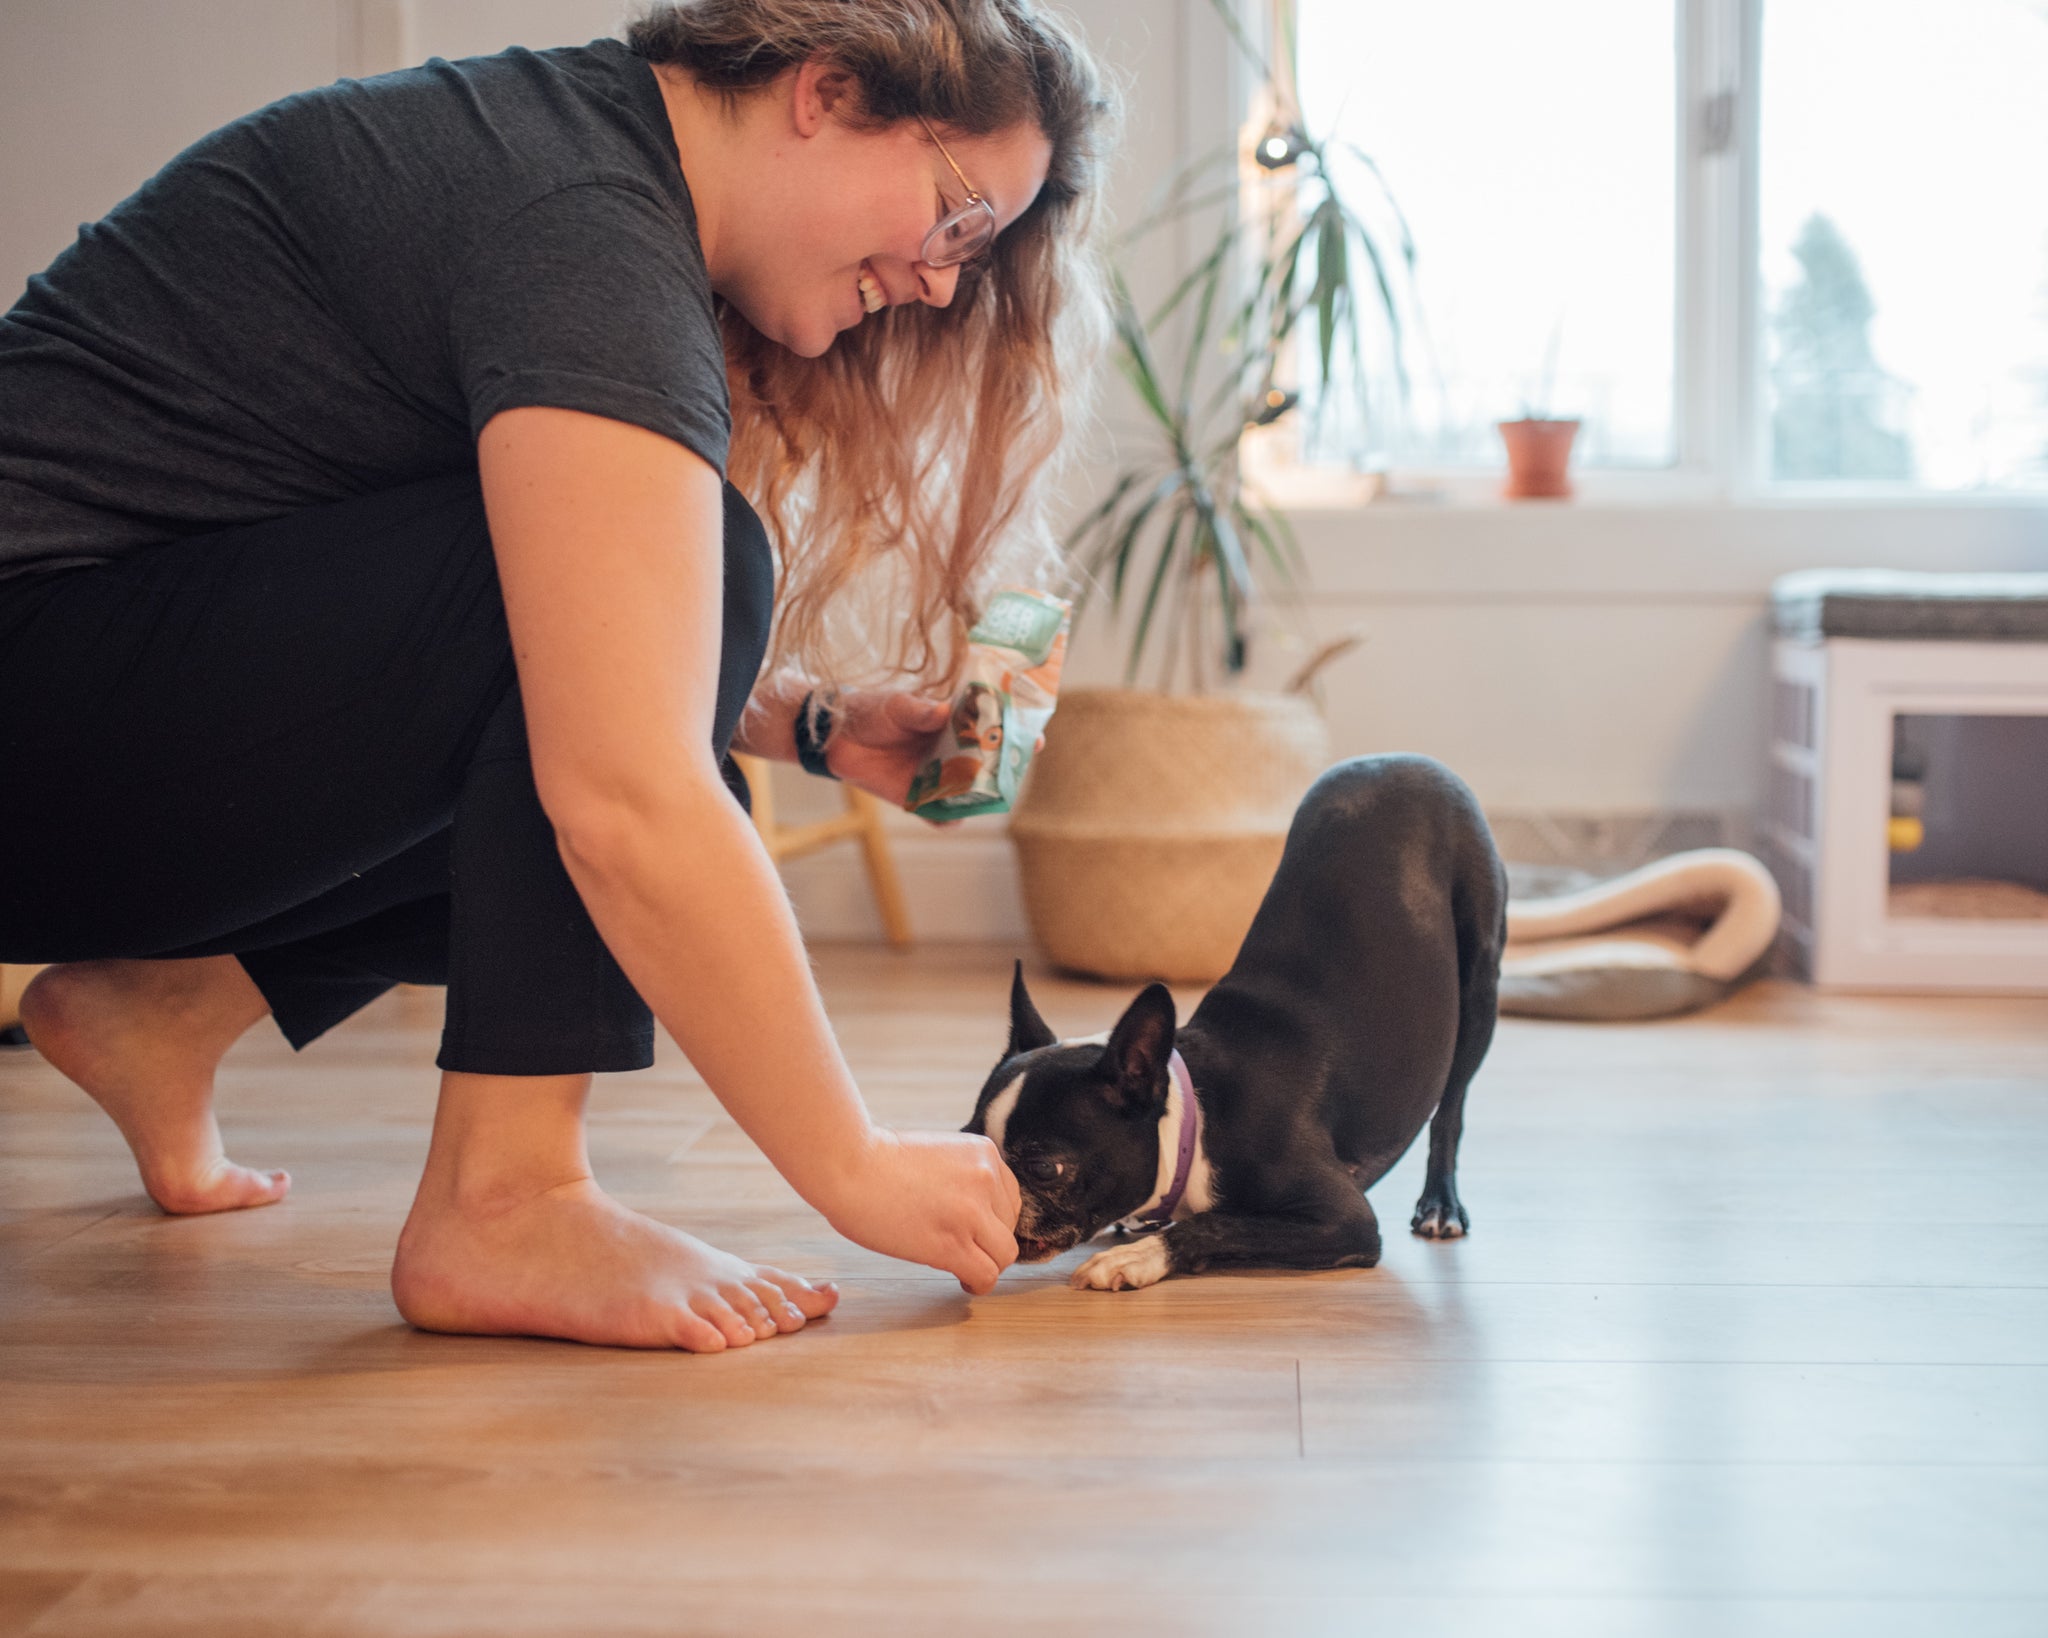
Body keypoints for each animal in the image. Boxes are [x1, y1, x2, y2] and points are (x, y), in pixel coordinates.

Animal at [958, 757, 1507, 1294]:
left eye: (1044, 1169)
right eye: (970, 1140)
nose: (992, 1189)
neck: (1197, 1122)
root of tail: (1405, 761)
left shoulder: (1346, 1219)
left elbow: (1217, 1223)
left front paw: (1138, 1257)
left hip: (1479, 984)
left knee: (1450, 1108)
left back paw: (1441, 1203)